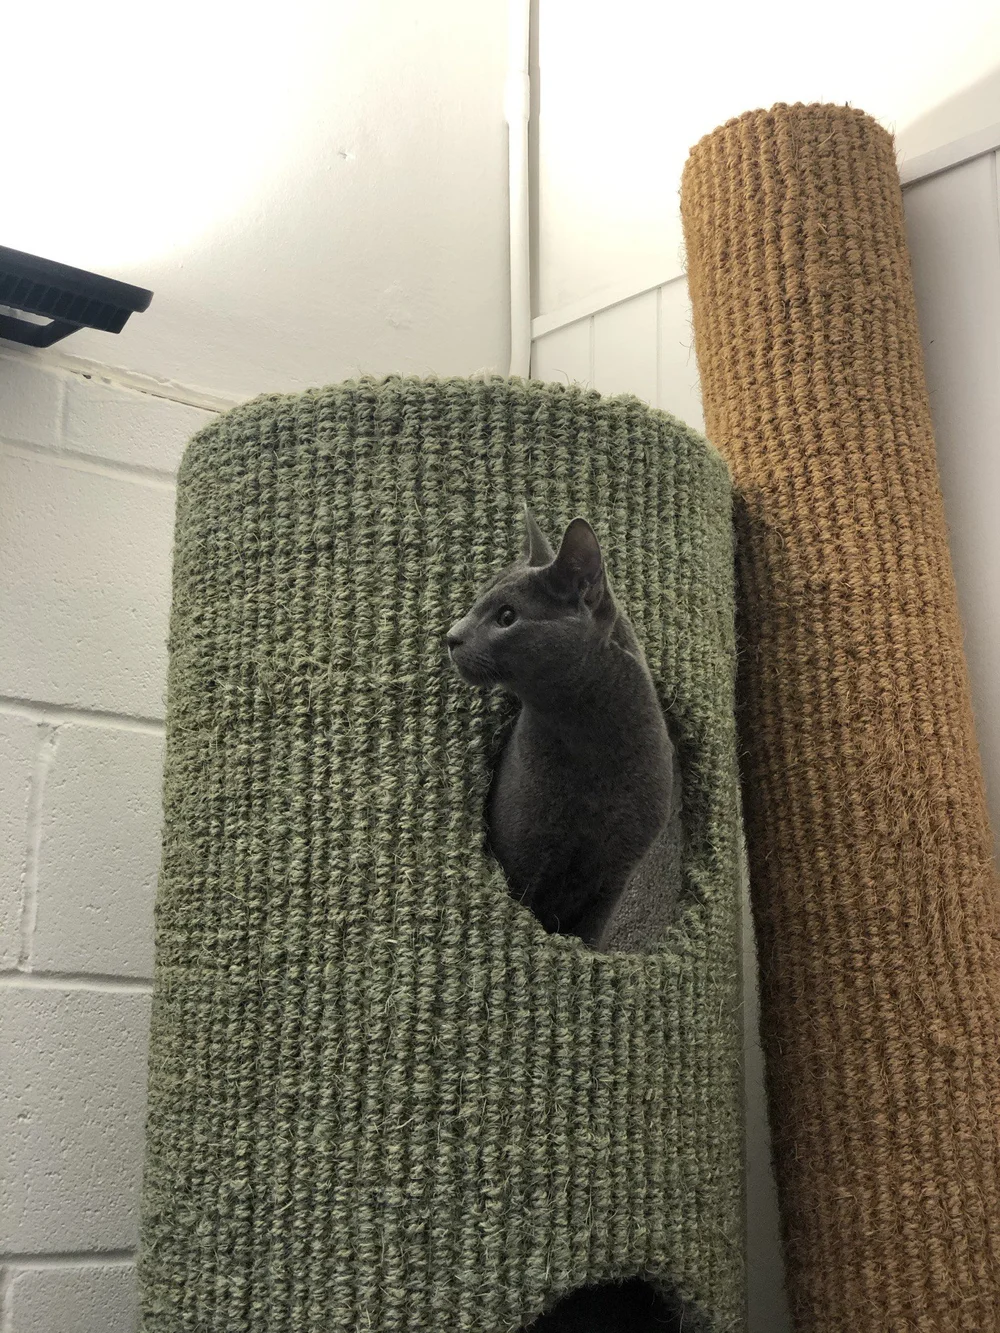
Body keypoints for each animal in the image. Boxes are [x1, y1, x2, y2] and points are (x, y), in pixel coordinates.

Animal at [446, 509, 675, 950]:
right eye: (475, 602)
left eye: (506, 616)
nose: (450, 636)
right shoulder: (523, 861)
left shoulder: (613, 878)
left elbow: (590, 936)